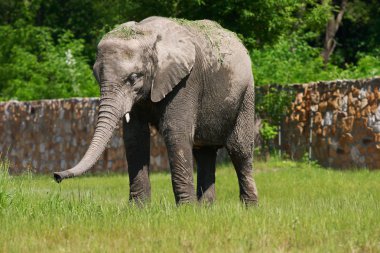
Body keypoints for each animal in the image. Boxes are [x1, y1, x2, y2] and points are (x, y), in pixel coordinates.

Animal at [52, 15, 258, 206]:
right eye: (96, 75)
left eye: (134, 77)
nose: (56, 176)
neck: (148, 34)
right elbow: (135, 137)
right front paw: (138, 209)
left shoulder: (187, 80)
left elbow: (175, 132)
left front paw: (186, 210)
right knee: (204, 153)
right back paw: (206, 209)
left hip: (246, 93)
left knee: (239, 149)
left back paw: (249, 209)